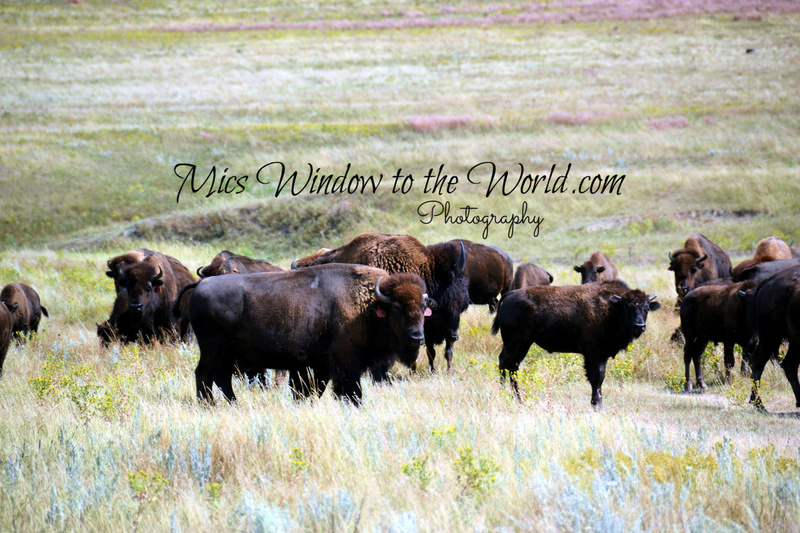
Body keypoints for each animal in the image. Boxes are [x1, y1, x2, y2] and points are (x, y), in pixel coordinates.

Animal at [188, 264, 432, 404]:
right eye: (397, 308)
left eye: (423, 308)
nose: (417, 338)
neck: (370, 305)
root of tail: (200, 283)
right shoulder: (346, 360)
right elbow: (351, 390)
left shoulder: (321, 365)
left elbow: (316, 389)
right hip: (212, 350)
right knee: (203, 375)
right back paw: (208, 405)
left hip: (226, 355)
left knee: (221, 379)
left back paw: (232, 404)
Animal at [492, 280, 660, 407]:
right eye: (627, 308)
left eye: (646, 308)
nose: (639, 326)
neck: (612, 307)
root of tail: (510, 294)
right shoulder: (594, 354)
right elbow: (596, 377)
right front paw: (597, 405)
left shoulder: (602, 355)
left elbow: (600, 377)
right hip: (513, 342)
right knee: (505, 363)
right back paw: (504, 393)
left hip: (524, 343)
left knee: (512, 366)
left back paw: (518, 399)